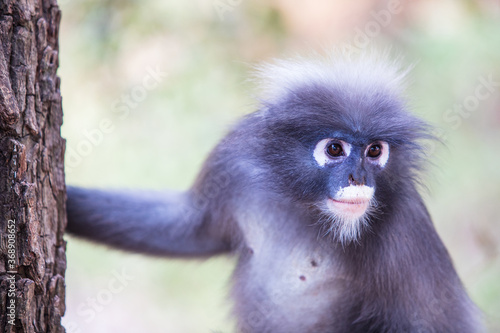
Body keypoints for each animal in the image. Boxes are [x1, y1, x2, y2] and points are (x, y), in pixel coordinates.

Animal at [64, 51, 482, 330]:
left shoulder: (406, 229)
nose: (358, 177)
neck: (302, 204)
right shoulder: (235, 164)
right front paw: (68, 202)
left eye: (375, 152)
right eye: (335, 149)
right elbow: (189, 228)